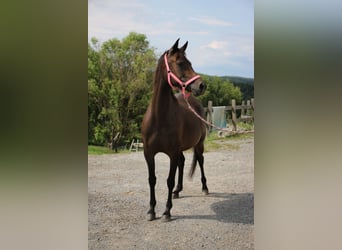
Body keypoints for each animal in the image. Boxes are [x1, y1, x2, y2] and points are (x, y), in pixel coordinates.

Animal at [141, 39, 208, 221]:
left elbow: (169, 180)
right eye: (180, 63)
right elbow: (152, 179)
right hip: (181, 149)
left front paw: (166, 211)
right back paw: (178, 190)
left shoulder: (172, 153)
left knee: (200, 161)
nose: (201, 85)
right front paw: (151, 210)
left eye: (190, 62)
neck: (159, 117)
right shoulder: (148, 153)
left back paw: (205, 188)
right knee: (182, 162)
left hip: (199, 144)